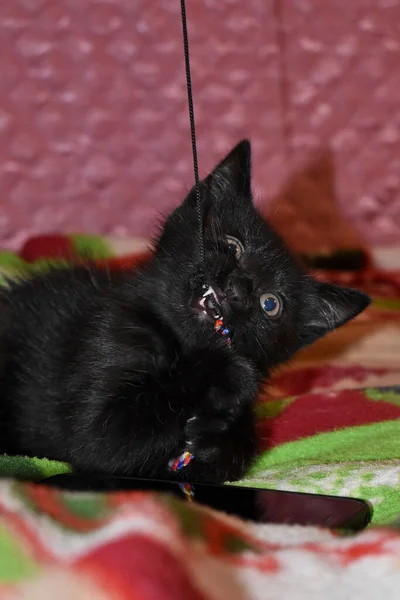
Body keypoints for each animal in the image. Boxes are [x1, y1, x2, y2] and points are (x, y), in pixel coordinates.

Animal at [0, 141, 368, 482]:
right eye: (233, 245)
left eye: (270, 304)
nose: (239, 287)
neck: (180, 342)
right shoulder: (105, 337)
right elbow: (101, 439)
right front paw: (228, 367)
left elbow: (242, 451)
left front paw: (219, 442)